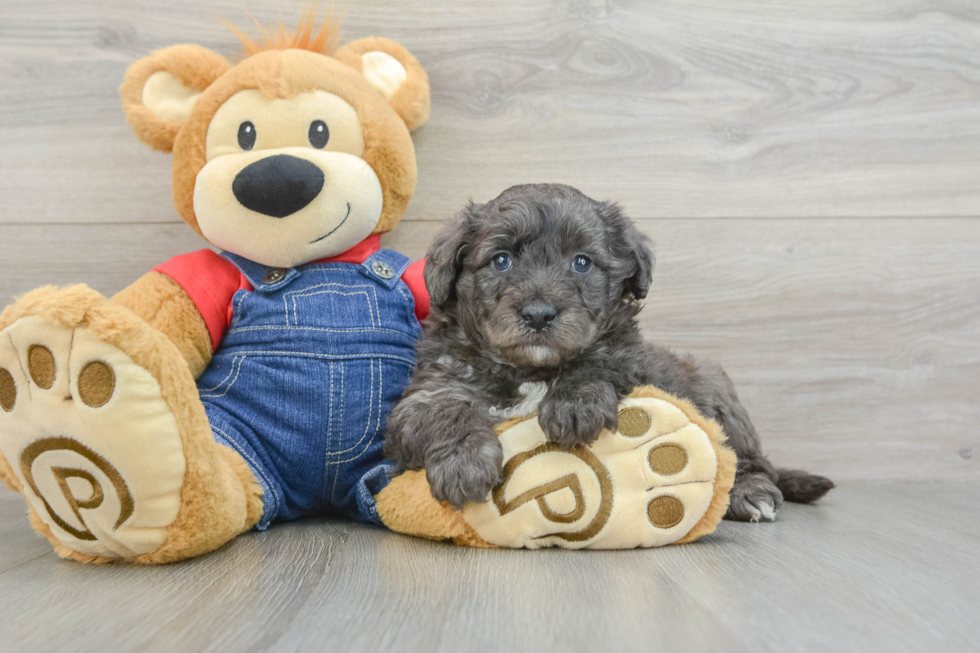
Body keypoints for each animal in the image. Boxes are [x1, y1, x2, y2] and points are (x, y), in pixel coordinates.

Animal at [382, 182, 836, 520]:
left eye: (582, 263)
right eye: (501, 260)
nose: (539, 314)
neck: (531, 371)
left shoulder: (627, 358)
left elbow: (599, 361)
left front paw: (574, 404)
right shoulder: (430, 392)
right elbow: (447, 412)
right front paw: (465, 463)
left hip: (715, 388)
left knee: (751, 461)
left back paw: (749, 493)